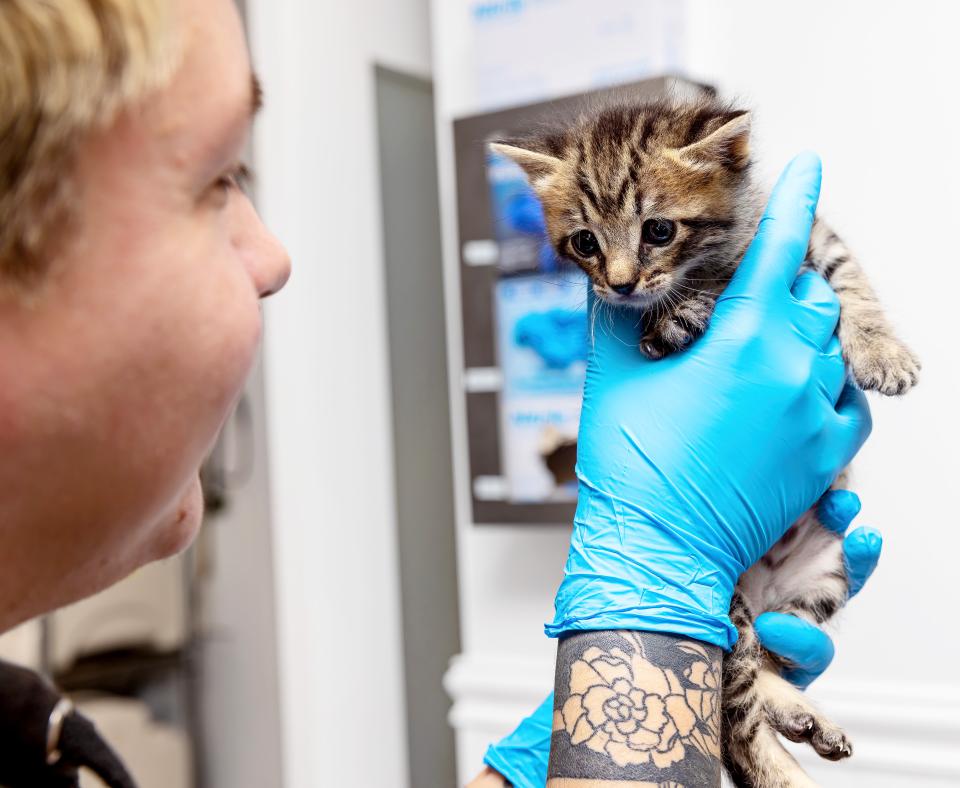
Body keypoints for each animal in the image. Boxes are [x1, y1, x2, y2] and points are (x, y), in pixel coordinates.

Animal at [492, 97, 920, 788]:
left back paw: (801, 713)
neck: (721, 252)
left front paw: (884, 351)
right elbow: (712, 297)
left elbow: (848, 280)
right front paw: (682, 312)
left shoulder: (814, 237)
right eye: (585, 242)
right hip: (720, 607)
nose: (619, 285)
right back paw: (785, 768)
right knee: (731, 713)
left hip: (824, 577)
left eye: (659, 230)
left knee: (767, 659)